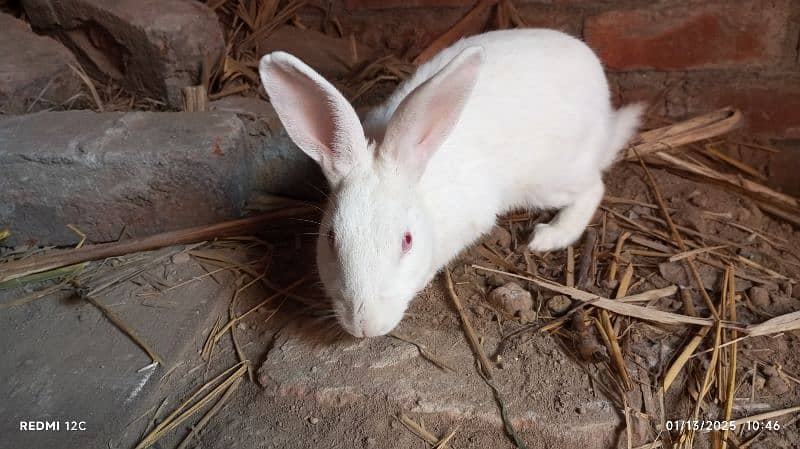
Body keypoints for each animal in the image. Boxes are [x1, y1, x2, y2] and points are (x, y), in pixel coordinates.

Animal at [260, 28, 640, 336]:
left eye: (407, 241)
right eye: (330, 238)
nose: (364, 327)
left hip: (553, 179)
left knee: (593, 187)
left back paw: (550, 235)